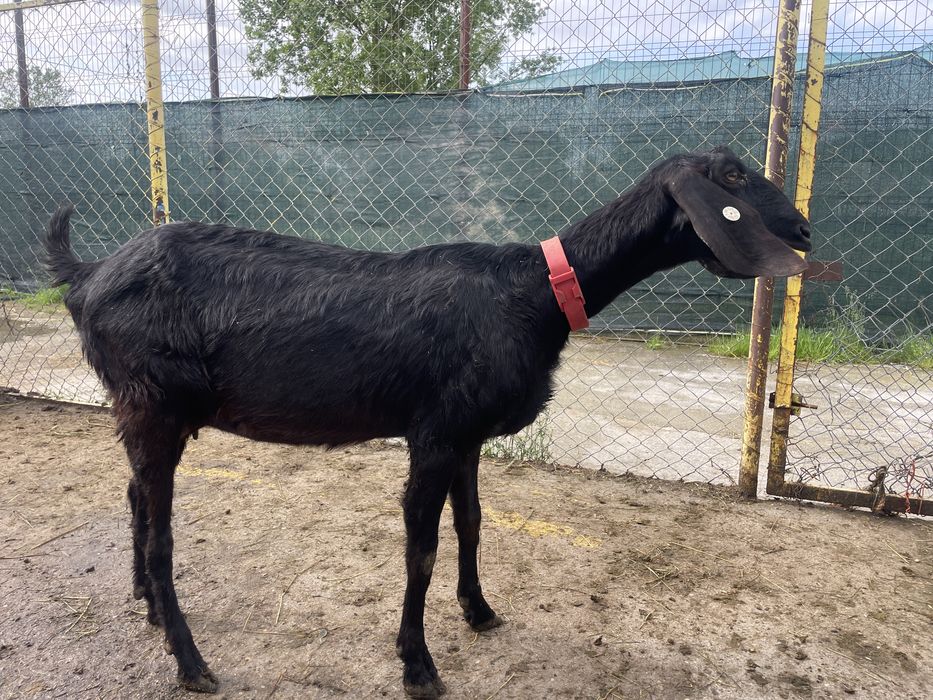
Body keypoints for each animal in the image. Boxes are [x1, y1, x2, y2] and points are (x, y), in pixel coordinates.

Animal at [42, 146, 810, 698]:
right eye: (733, 175)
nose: (803, 228)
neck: (532, 293)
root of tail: (87, 276)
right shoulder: (434, 434)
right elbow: (423, 548)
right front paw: (417, 666)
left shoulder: (466, 434)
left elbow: (470, 524)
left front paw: (479, 610)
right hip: (151, 402)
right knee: (161, 534)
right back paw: (191, 661)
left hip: (146, 412)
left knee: (135, 496)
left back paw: (145, 605)